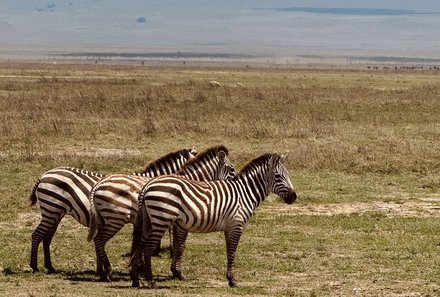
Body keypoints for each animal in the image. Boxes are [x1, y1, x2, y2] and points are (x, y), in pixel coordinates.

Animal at [28, 146, 194, 272]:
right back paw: (35, 266)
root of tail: (44, 175)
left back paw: (50, 267)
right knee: (37, 235)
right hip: (52, 209)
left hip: (56, 212)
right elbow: (137, 243)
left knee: (47, 237)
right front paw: (139, 267)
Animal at [87, 145, 237, 280]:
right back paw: (107, 272)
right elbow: (179, 246)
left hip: (104, 218)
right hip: (116, 218)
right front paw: (177, 272)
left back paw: (101, 271)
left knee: (97, 241)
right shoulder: (179, 222)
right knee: (99, 240)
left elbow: (174, 245)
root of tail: (98, 184)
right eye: (232, 169)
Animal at [129, 151, 298, 286]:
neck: (244, 193)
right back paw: (150, 281)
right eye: (278, 176)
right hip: (161, 219)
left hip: (149, 221)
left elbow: (228, 251)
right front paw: (232, 280)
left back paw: (136, 279)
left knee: (141, 245)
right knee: (148, 247)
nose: (294, 197)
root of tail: (148, 185)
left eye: (288, 175)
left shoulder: (229, 227)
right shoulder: (236, 225)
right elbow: (232, 252)